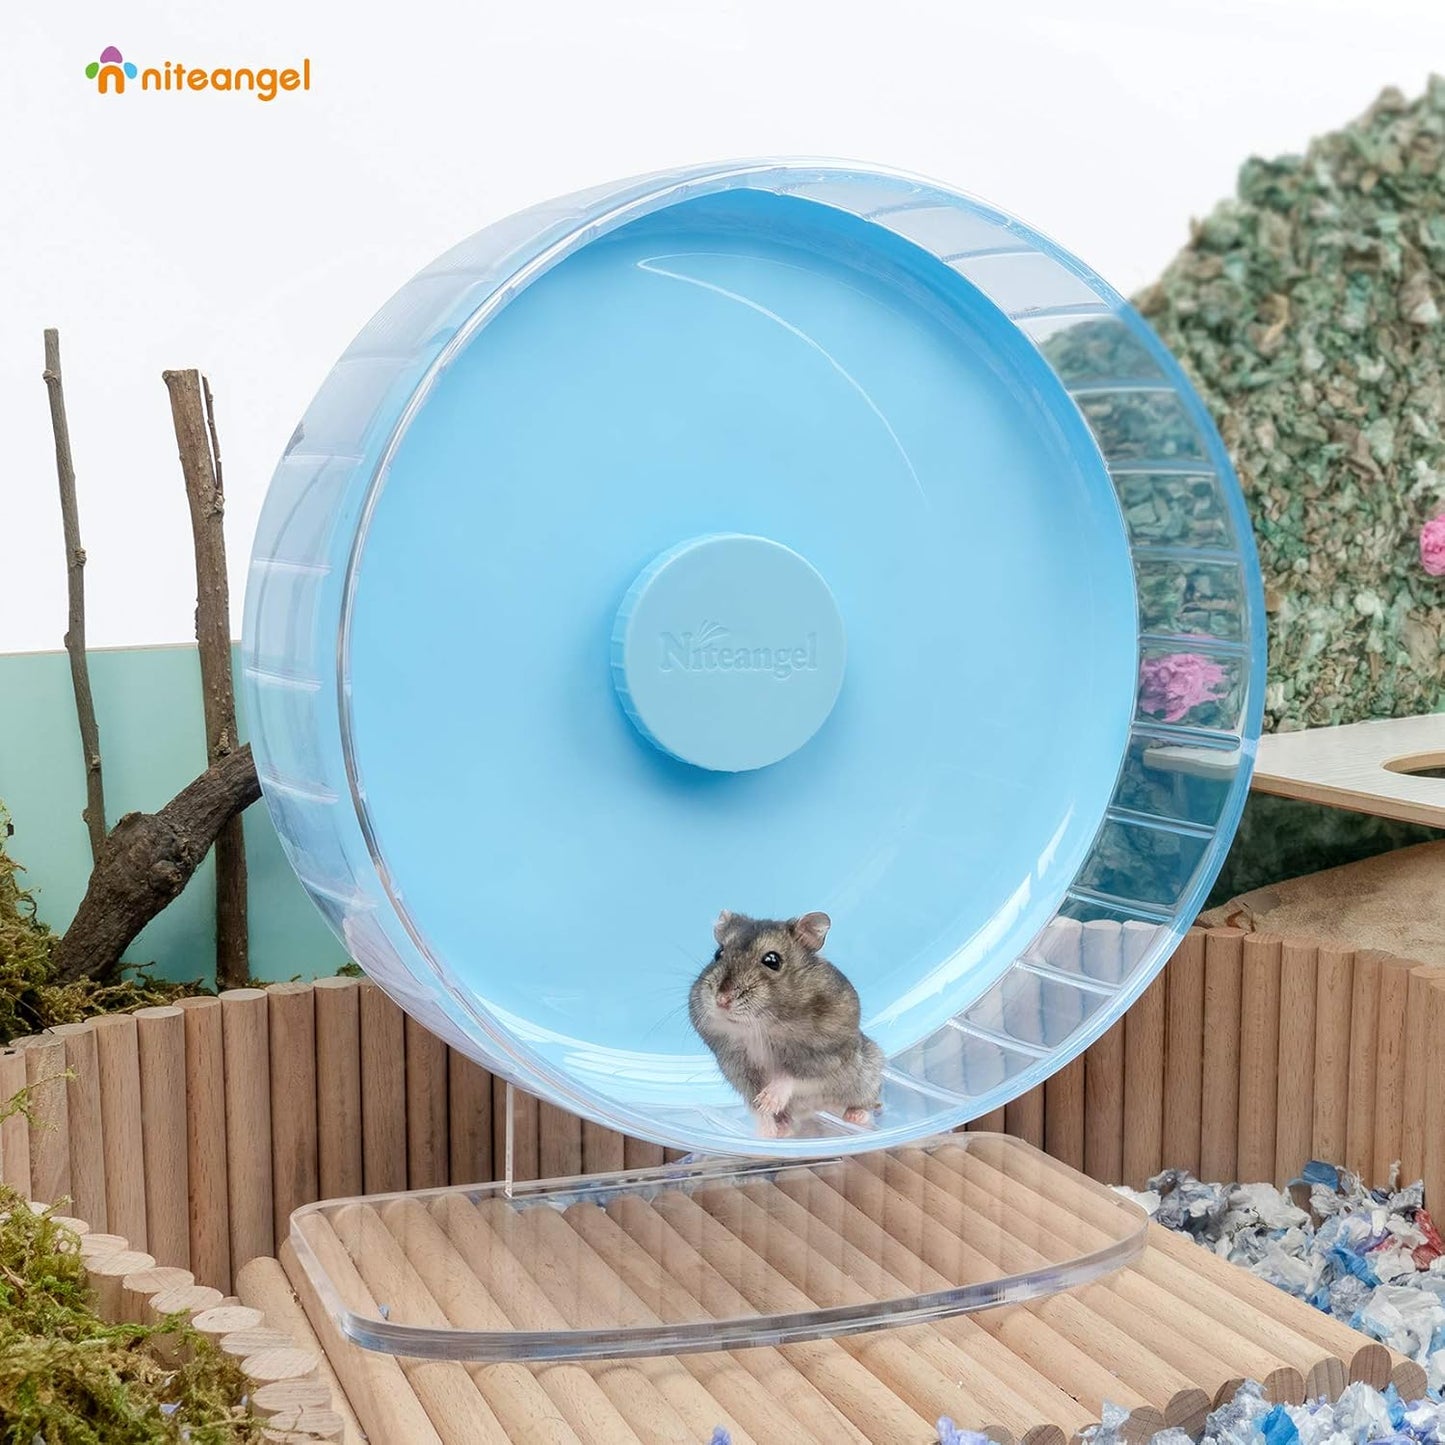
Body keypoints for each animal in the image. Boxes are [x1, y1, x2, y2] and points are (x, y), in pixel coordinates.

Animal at [688, 909, 884, 1139]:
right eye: (718, 953)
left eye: (772, 960)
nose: (722, 1000)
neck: (758, 1026)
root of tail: (818, 1110)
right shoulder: (736, 1067)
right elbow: (755, 1105)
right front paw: (766, 1129)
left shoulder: (824, 1057)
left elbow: (790, 1075)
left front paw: (768, 1100)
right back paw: (783, 1126)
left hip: (868, 1074)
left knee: (866, 1103)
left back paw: (856, 1116)